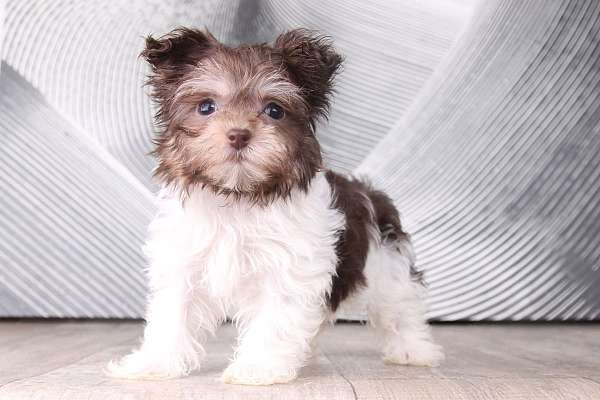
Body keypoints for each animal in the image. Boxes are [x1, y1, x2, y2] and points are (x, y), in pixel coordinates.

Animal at [108, 27, 442, 384]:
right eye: (206, 107)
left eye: (274, 110)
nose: (238, 135)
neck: (238, 196)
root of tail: (368, 190)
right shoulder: (184, 260)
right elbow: (173, 314)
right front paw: (154, 363)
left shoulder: (288, 269)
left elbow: (275, 319)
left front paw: (258, 367)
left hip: (386, 265)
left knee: (401, 307)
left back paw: (413, 350)